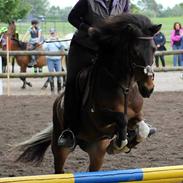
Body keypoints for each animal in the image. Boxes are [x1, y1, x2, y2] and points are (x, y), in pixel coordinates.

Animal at [15, 13, 162, 173]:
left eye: (154, 49)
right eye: (135, 51)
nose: (148, 88)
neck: (124, 87)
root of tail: (58, 101)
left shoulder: (136, 116)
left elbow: (143, 129)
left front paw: (126, 141)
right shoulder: (98, 117)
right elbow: (121, 118)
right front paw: (119, 144)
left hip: (97, 152)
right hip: (61, 149)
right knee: (59, 168)